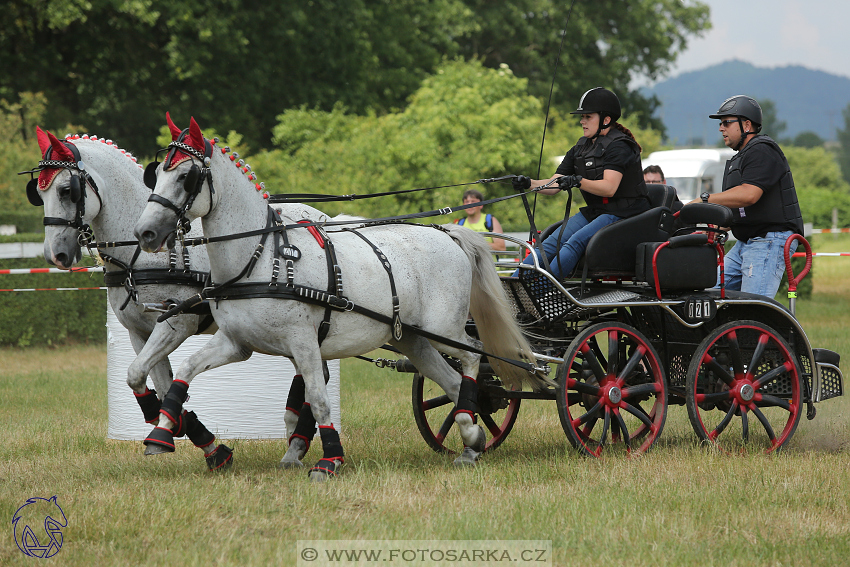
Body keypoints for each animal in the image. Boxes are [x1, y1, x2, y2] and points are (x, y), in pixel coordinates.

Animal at [132, 116, 544, 484]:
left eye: (186, 177)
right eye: (158, 173)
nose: (145, 232)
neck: (260, 258)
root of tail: (447, 232)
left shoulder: (303, 343)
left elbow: (317, 398)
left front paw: (329, 459)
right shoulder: (236, 342)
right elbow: (184, 371)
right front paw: (162, 430)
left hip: (445, 330)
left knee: (473, 357)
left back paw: (470, 430)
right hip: (414, 340)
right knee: (455, 384)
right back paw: (472, 439)